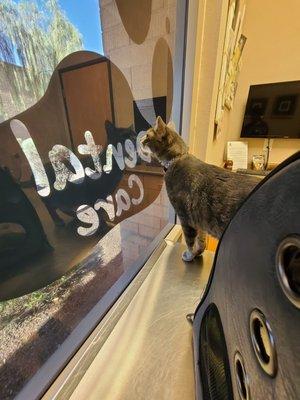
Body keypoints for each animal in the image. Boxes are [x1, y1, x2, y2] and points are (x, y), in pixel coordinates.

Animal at [142, 115, 258, 262]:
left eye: (147, 135)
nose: (140, 139)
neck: (177, 158)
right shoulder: (199, 220)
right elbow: (201, 240)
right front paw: (198, 252)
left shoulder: (185, 217)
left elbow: (190, 240)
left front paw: (189, 255)